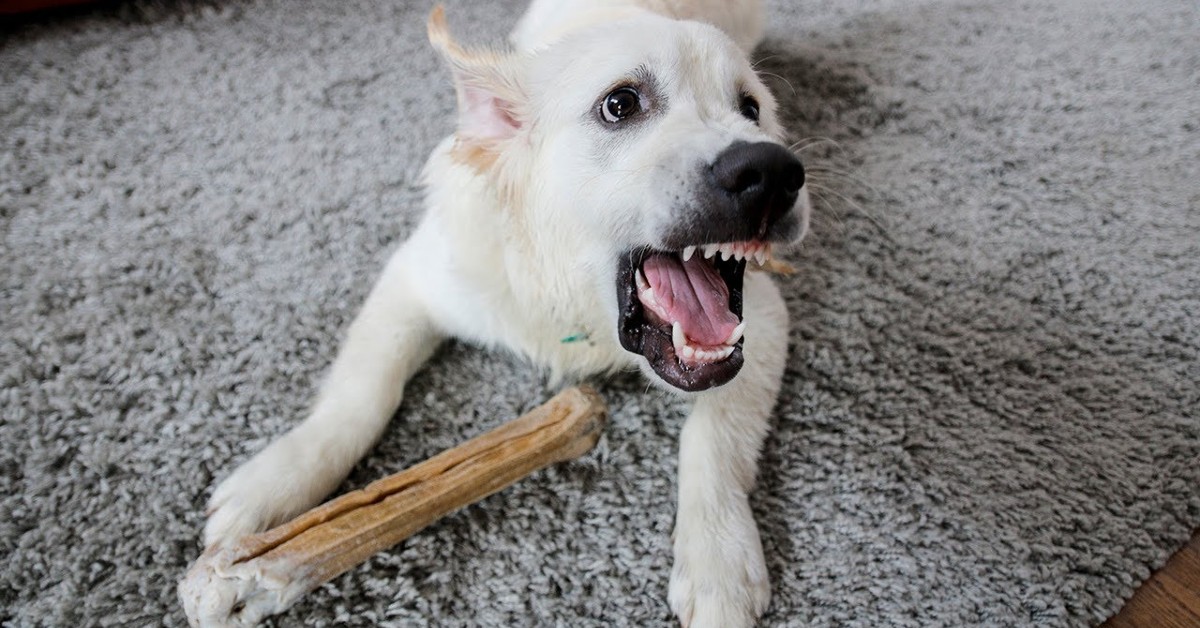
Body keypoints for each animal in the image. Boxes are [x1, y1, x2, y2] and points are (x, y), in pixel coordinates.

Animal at [201, 2, 811, 624]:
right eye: (620, 104)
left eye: (751, 109)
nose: (771, 174)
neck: (568, 296)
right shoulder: (418, 276)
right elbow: (361, 398)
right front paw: (274, 487)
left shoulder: (761, 320)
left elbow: (714, 439)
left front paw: (719, 560)